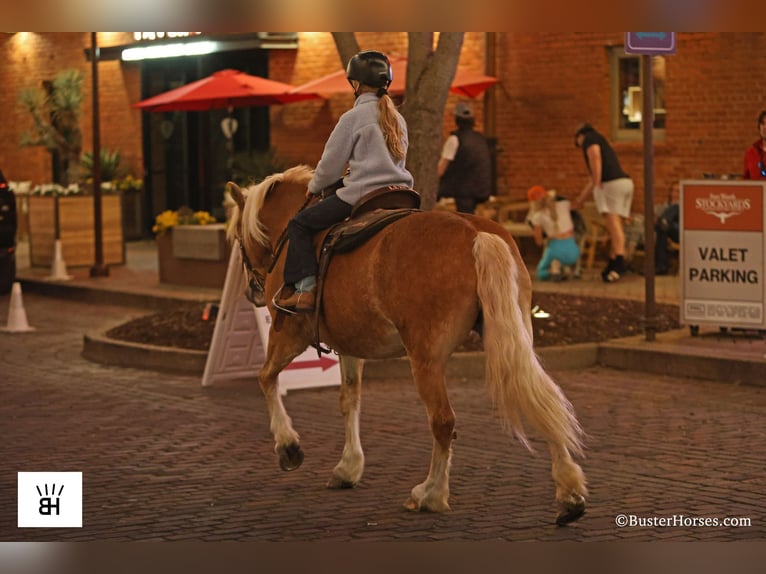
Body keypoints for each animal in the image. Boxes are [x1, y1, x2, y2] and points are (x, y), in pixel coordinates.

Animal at [226, 166, 588, 528]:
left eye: (236, 239)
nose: (251, 292)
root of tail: (477, 234)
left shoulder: (288, 334)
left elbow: (266, 378)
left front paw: (288, 446)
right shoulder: (351, 343)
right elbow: (349, 400)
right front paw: (348, 467)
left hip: (425, 358)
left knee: (443, 421)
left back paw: (431, 493)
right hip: (514, 336)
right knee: (540, 397)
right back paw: (569, 493)